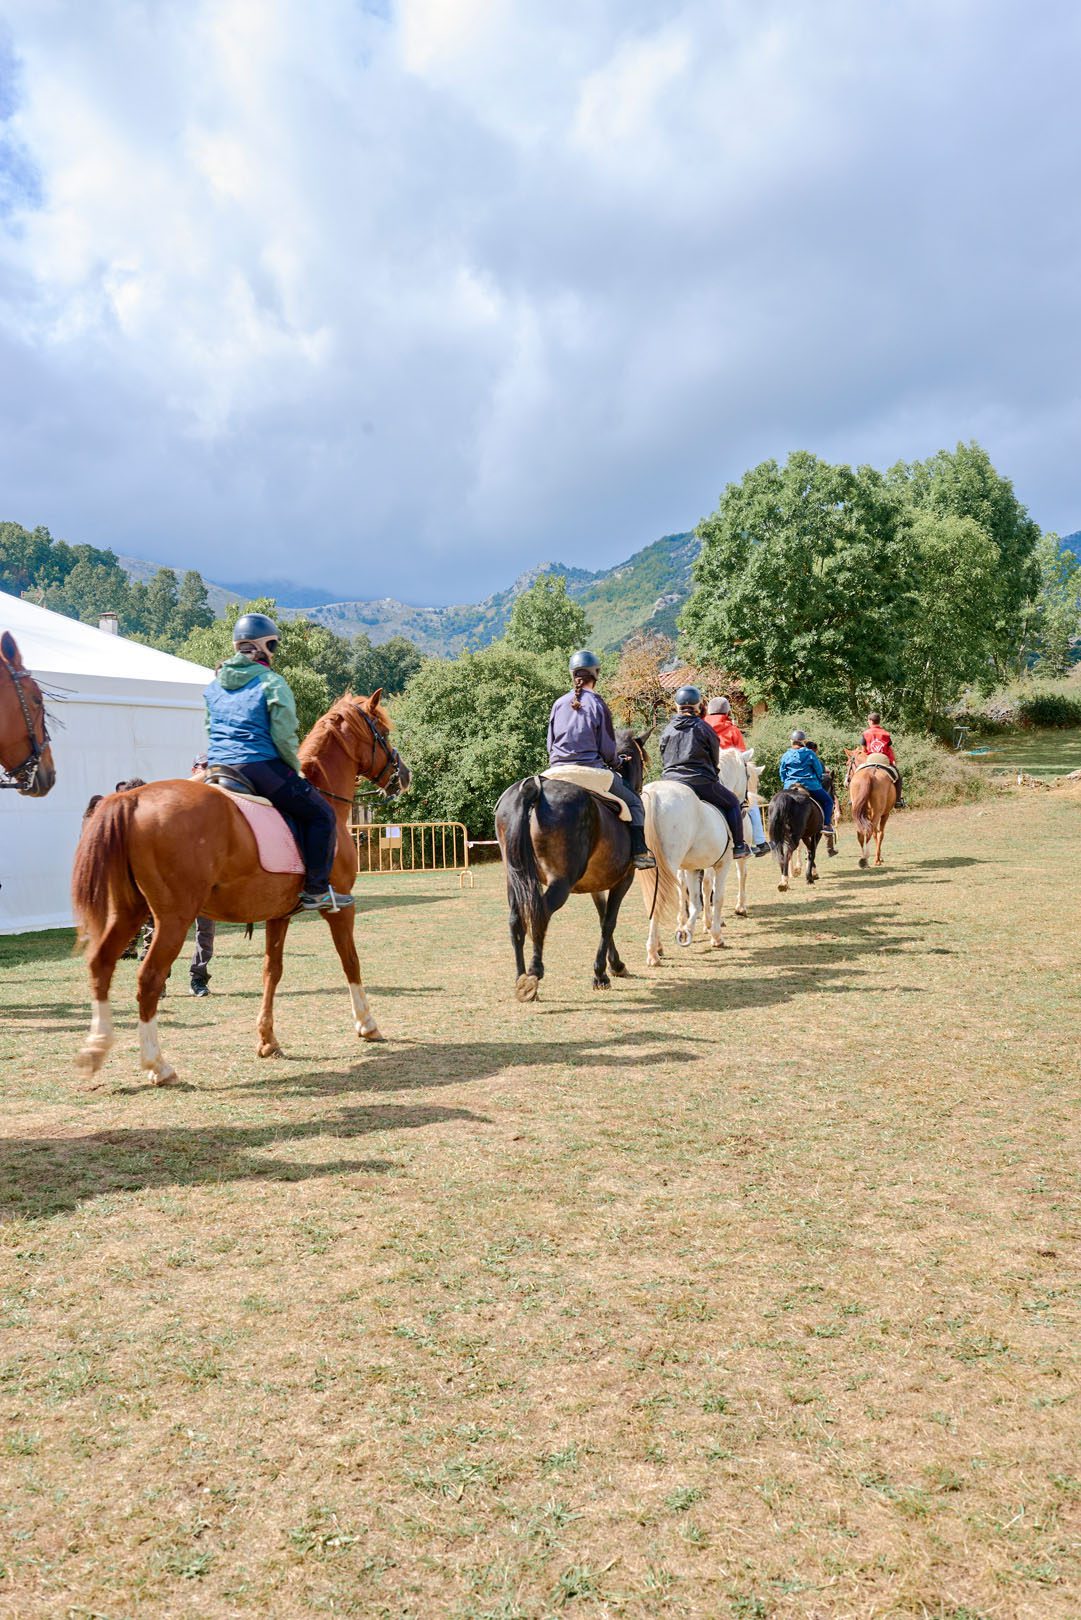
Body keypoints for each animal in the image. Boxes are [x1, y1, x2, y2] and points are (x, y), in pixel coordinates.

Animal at [71, 690, 410, 1082]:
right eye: (384, 733)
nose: (404, 774)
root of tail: (133, 799)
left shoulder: (279, 915)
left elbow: (272, 971)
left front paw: (267, 1040)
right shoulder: (340, 908)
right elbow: (350, 961)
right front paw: (367, 1024)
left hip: (130, 912)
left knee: (101, 965)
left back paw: (96, 1048)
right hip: (173, 919)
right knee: (149, 979)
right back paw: (158, 1065)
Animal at [495, 732, 648, 997]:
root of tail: (534, 787)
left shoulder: (596, 884)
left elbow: (602, 917)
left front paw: (613, 965)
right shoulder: (623, 880)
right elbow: (609, 921)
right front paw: (602, 973)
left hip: (514, 878)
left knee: (516, 919)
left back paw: (520, 977)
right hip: (561, 882)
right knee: (541, 912)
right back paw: (534, 972)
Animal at [635, 745, 761, 959]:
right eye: (748, 776)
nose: (746, 805)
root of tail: (654, 794)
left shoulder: (693, 867)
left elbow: (696, 899)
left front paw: (688, 930)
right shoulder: (722, 863)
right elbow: (717, 895)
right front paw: (715, 935)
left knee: (656, 898)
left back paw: (659, 944)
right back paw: (653, 951)